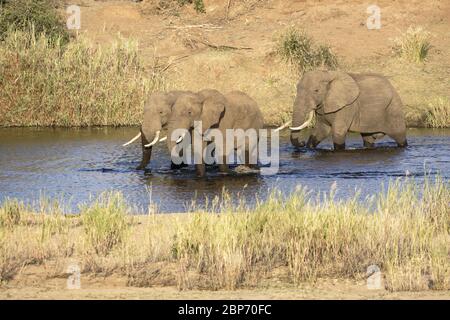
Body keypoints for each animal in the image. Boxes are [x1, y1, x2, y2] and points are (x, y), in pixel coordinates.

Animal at [278, 70, 408, 150]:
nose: (302, 143)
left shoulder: (347, 107)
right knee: (368, 138)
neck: (328, 74)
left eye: (316, 91)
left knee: (400, 136)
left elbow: (338, 132)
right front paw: (309, 147)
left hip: (394, 108)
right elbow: (321, 130)